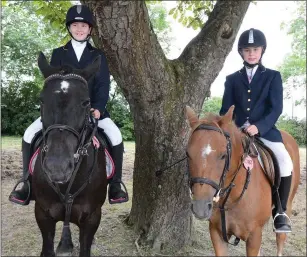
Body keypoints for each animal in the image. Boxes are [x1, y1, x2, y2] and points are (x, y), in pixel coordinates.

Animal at [186, 105, 300, 255]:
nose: (201, 207)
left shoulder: (254, 237)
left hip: (287, 207)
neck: (233, 197)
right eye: (188, 154)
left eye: (223, 155)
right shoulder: (217, 233)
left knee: (280, 238)